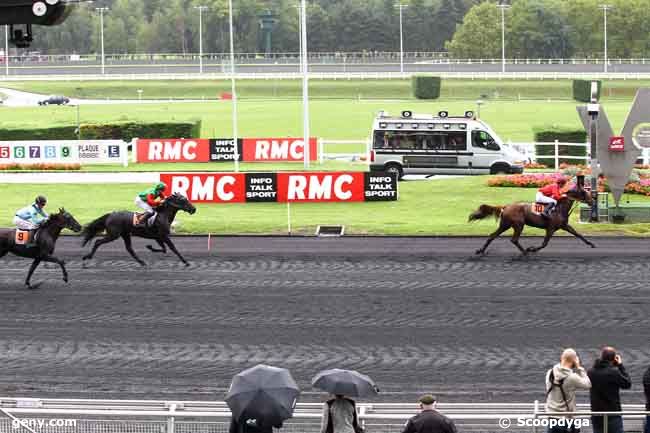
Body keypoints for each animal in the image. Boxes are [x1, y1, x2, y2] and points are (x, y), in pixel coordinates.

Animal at [468, 187, 596, 255]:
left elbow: (578, 234)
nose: (592, 201)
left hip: (505, 225)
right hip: (518, 225)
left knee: (492, 236)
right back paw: (525, 251)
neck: (559, 208)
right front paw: (532, 249)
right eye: (584, 192)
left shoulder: (564, 226)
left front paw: (591, 244)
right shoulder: (550, 228)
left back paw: (480, 250)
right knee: (514, 239)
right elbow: (544, 244)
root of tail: (506, 206)